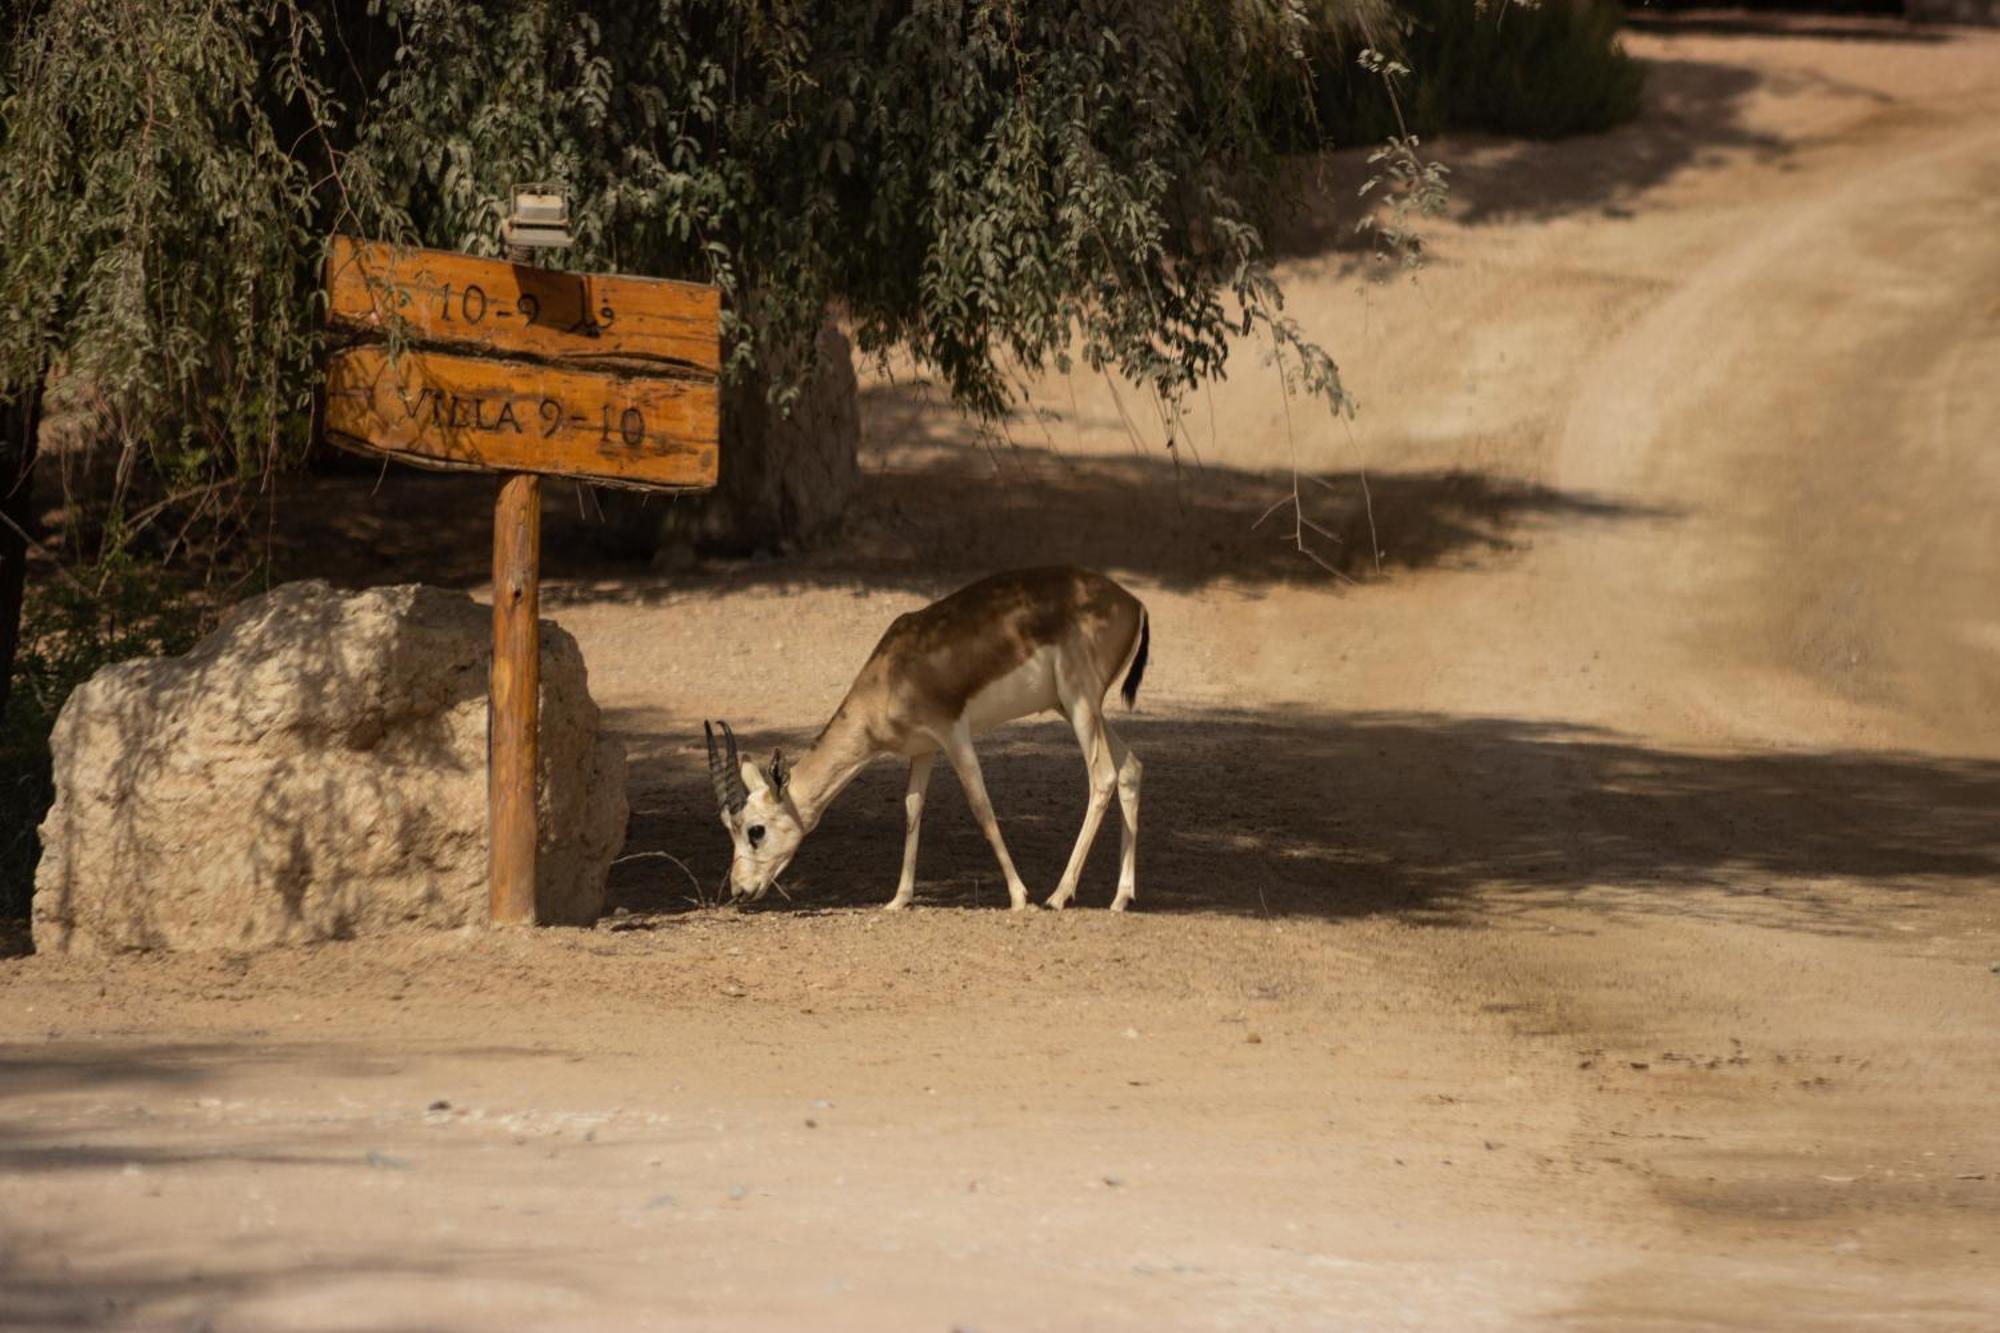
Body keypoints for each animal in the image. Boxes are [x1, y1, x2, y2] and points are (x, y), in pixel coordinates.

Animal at [705, 566, 1149, 911]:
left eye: (755, 830)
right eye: (730, 829)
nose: (739, 890)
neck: (893, 672)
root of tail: (1132, 603)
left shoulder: (953, 733)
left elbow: (981, 806)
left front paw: (1019, 897)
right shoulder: (923, 749)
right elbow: (912, 809)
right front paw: (898, 899)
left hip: (1079, 704)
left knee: (1103, 778)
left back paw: (1058, 896)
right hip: (1075, 707)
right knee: (1130, 767)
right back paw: (1120, 898)